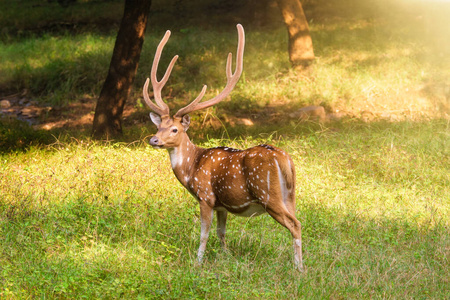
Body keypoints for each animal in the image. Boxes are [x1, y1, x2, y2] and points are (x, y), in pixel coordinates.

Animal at [144, 24, 304, 270]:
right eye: (159, 125)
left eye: (175, 130)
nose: (154, 140)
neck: (191, 168)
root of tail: (285, 160)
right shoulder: (222, 205)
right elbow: (221, 232)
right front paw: (226, 257)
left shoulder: (206, 196)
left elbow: (203, 233)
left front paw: (198, 262)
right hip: (291, 194)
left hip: (269, 194)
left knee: (295, 225)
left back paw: (299, 268)